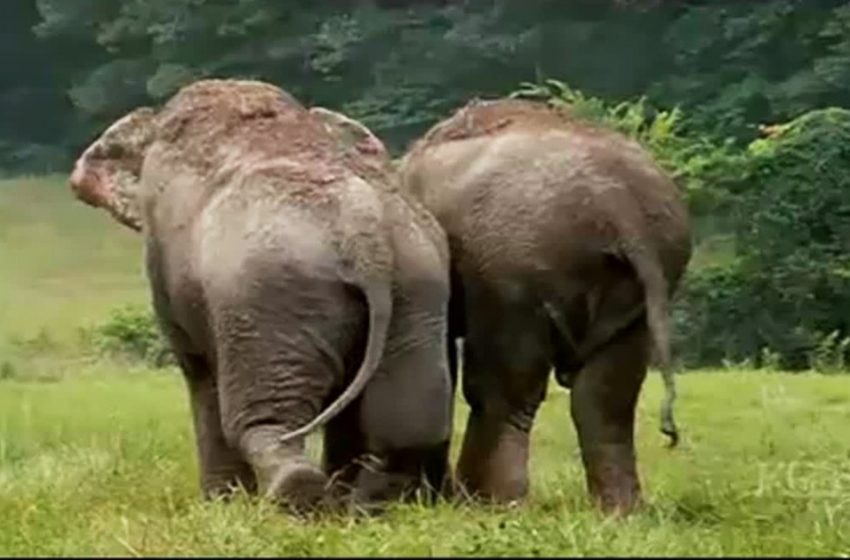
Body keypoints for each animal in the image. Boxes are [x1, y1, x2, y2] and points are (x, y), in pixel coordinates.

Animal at [68, 81, 454, 516]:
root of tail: (365, 232)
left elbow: (199, 372)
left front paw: (219, 506)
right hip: (416, 286)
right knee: (407, 420)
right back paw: (366, 508)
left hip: (271, 298)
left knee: (264, 420)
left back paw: (298, 496)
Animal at [396, 98, 688, 516]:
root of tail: (618, 202)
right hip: (642, 284)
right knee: (606, 395)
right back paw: (620, 512)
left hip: (511, 272)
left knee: (502, 387)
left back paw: (490, 502)